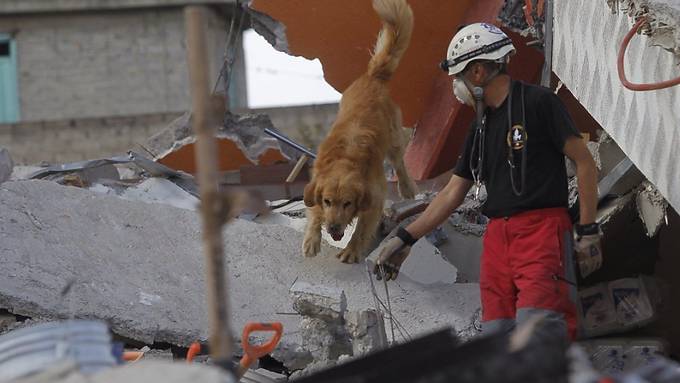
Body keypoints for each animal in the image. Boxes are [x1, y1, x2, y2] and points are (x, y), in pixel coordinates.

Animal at [302, 0, 418, 264]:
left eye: (347, 203)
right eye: (327, 201)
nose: (333, 228)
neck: (345, 160)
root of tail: (373, 77)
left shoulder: (375, 198)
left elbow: (363, 228)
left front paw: (352, 250)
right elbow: (313, 211)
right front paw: (312, 240)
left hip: (394, 139)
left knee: (400, 162)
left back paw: (407, 187)